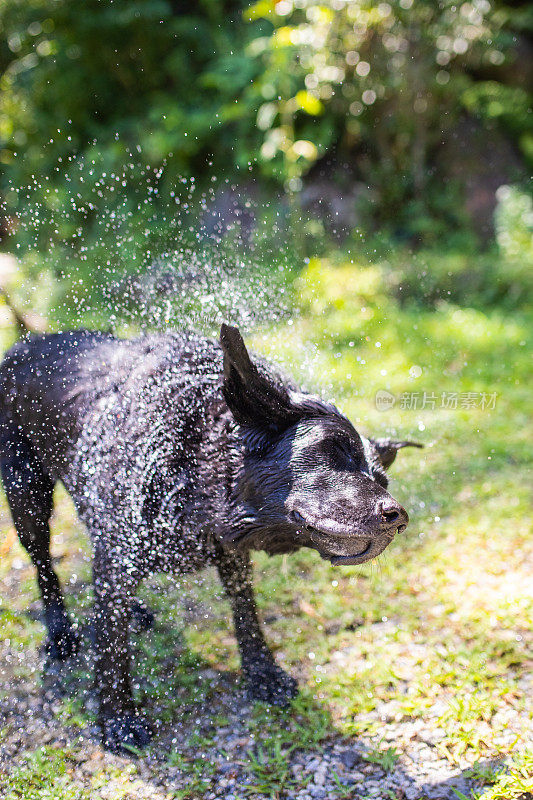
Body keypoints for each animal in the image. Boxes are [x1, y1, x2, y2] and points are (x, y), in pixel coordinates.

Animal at [0, 324, 420, 752]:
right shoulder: (119, 554)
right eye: (331, 451)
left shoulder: (229, 554)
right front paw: (118, 720)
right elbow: (112, 652)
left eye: (381, 479)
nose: (399, 518)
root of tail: (26, 342)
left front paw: (263, 674)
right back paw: (60, 633)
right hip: (26, 496)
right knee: (45, 567)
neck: (191, 466)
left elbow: (246, 614)